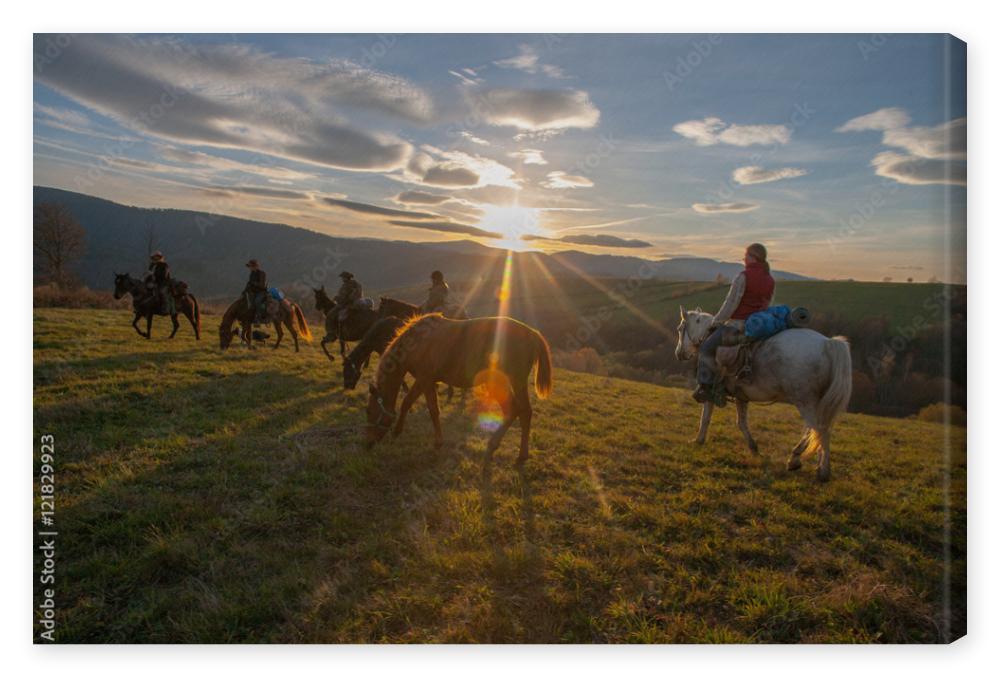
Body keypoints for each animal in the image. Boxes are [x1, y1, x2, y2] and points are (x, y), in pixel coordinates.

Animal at [368, 312, 556, 468]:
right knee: (523, 412)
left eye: (370, 411)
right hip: (511, 384)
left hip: (506, 383)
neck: (418, 342)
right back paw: (519, 453)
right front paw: (397, 431)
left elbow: (432, 409)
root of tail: (532, 334)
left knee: (514, 410)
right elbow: (407, 403)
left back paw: (498, 447)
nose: (368, 442)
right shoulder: (423, 381)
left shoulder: (426, 380)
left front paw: (438, 443)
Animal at [672, 306, 852, 480]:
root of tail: (827, 343)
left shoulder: (710, 390)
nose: (679, 353)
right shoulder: (741, 396)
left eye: (680, 328)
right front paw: (754, 449)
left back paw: (814, 467)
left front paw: (698, 440)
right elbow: (741, 423)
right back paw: (807, 462)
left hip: (804, 401)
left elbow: (705, 417)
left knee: (818, 429)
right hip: (816, 402)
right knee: (819, 430)